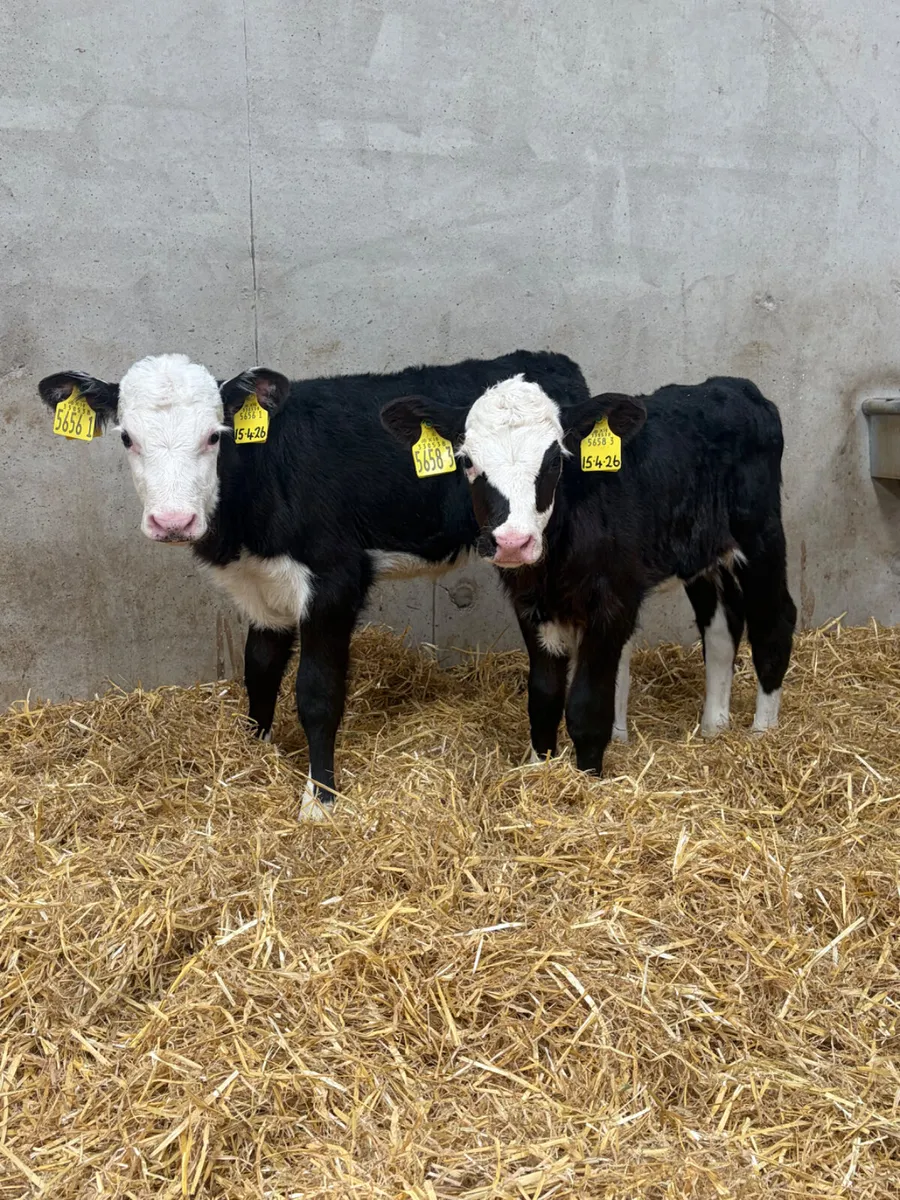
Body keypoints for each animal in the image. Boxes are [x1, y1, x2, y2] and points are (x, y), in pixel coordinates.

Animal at [38, 350, 592, 818]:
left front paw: (319, 800)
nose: (173, 520)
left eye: (216, 436)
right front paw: (252, 752)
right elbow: (259, 669)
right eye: (127, 437)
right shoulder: (259, 585)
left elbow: (317, 693)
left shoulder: (334, 579)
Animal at [381, 375, 797, 775]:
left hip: (761, 536)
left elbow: (588, 706)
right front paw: (540, 768)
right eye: (467, 460)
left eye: (554, 461)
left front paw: (586, 779)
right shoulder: (531, 606)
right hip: (702, 557)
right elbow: (544, 697)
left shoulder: (613, 602)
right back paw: (714, 728)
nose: (513, 542)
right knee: (722, 629)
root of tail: (733, 386)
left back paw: (763, 734)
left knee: (774, 621)